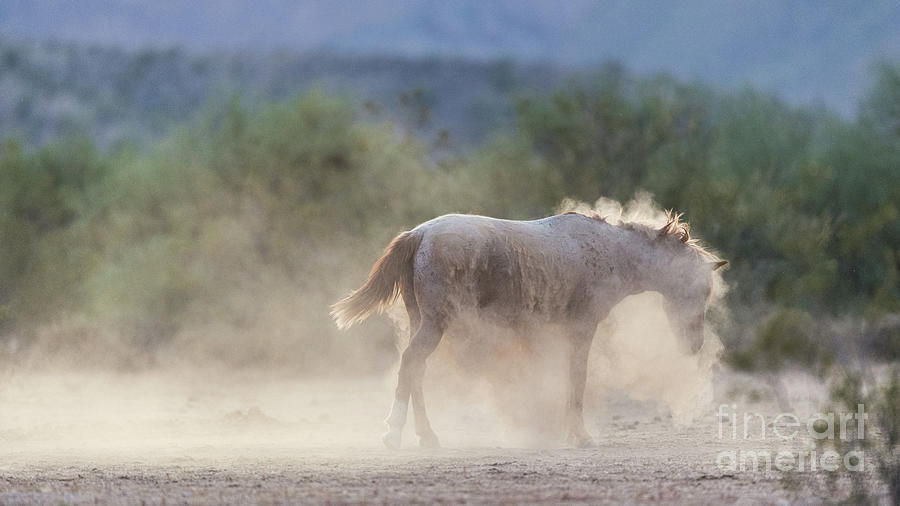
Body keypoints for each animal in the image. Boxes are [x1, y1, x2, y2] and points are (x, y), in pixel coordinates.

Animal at [330, 211, 724, 448]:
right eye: (702, 289)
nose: (693, 345)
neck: (607, 251)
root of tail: (421, 233)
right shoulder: (581, 330)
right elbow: (576, 382)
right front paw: (580, 436)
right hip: (435, 323)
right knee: (411, 363)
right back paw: (393, 434)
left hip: (421, 321)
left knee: (416, 371)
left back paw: (427, 436)